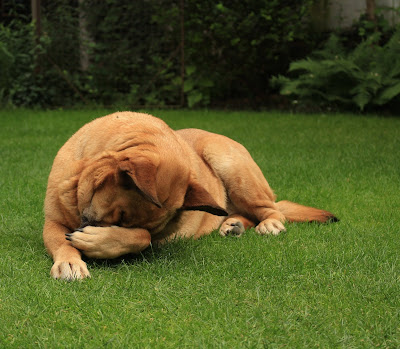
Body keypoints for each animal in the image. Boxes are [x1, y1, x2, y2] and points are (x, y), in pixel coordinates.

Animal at [44, 112, 338, 280]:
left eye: (122, 220)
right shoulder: (52, 223)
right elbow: (61, 241)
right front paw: (70, 261)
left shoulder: (155, 238)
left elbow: (142, 238)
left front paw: (98, 242)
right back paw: (233, 224)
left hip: (230, 164)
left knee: (270, 209)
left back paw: (269, 224)